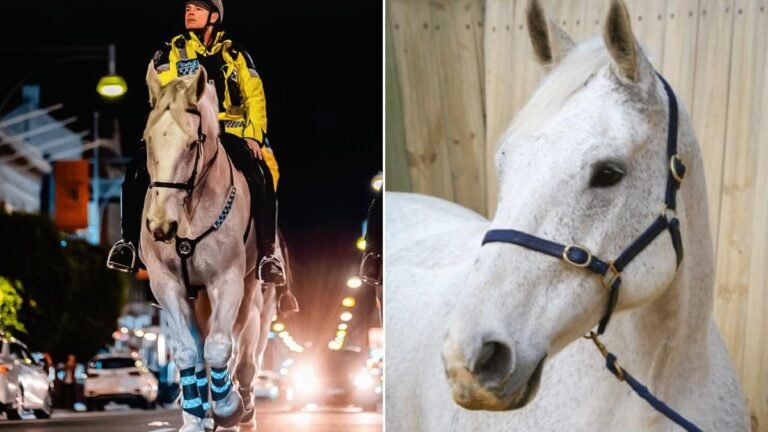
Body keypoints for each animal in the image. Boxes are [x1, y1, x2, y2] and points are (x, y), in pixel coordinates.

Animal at [141, 62, 281, 432]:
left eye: (192, 144)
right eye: (147, 141)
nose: (161, 224)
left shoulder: (228, 279)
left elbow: (219, 347)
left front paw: (229, 406)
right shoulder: (166, 283)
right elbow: (188, 350)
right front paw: (194, 416)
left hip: (252, 296)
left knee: (241, 357)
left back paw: (239, 407)